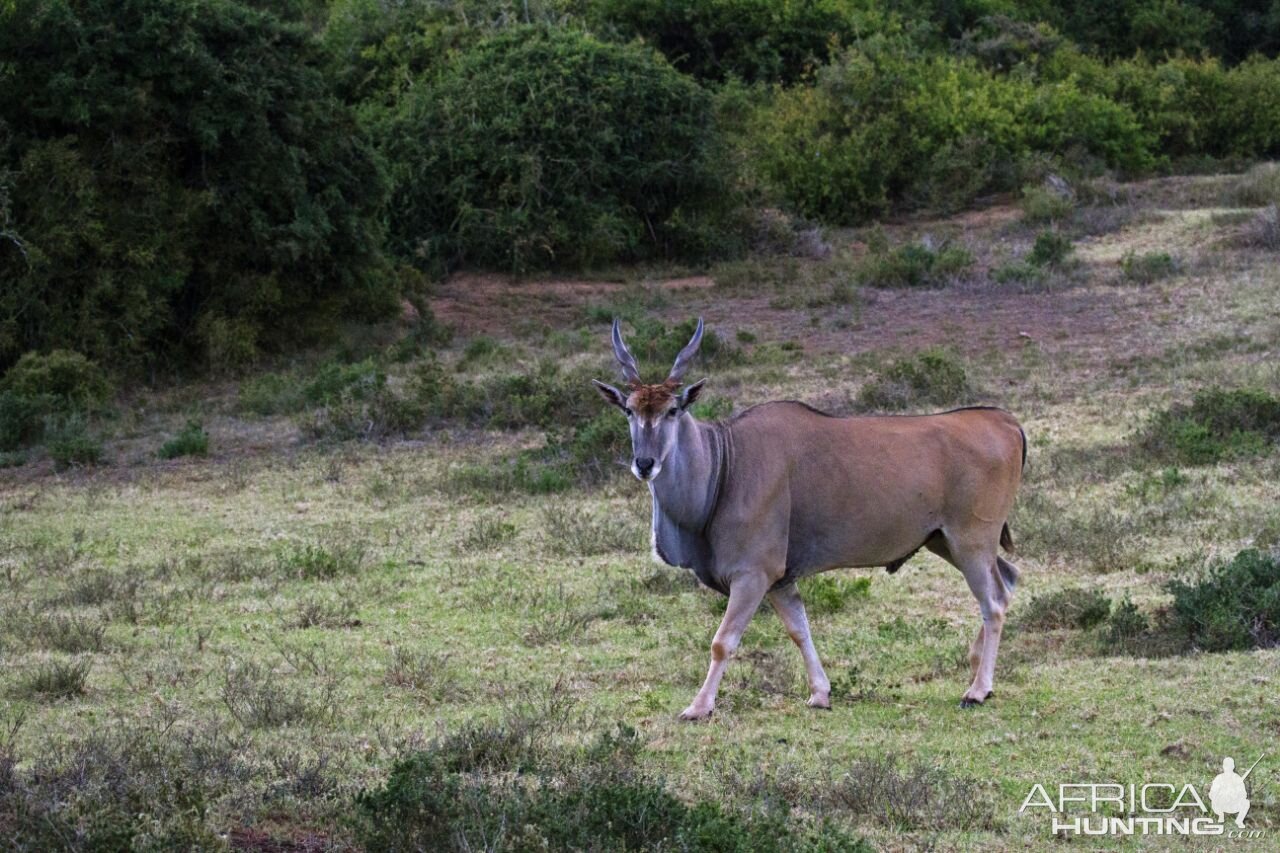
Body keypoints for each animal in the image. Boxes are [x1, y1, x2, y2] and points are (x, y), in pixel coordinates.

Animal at [593, 318, 1024, 717]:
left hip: (970, 541)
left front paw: (699, 707)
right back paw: (976, 668)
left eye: (672, 410)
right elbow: (799, 630)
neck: (726, 463)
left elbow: (723, 641)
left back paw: (977, 689)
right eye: (629, 410)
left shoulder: (753, 574)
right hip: (944, 541)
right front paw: (820, 694)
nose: (644, 463)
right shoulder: (780, 581)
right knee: (1006, 583)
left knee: (993, 601)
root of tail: (1006, 422)